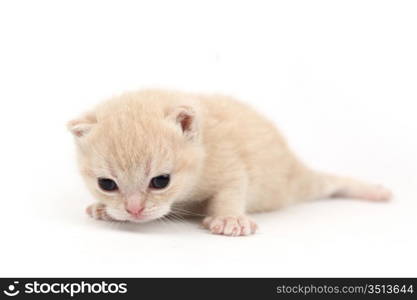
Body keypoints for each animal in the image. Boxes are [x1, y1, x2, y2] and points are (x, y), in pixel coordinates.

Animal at [68, 89, 390, 237]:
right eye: (106, 184)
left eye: (160, 181)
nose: (133, 210)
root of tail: (294, 165)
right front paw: (103, 208)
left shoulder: (230, 164)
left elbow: (232, 190)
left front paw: (229, 219)